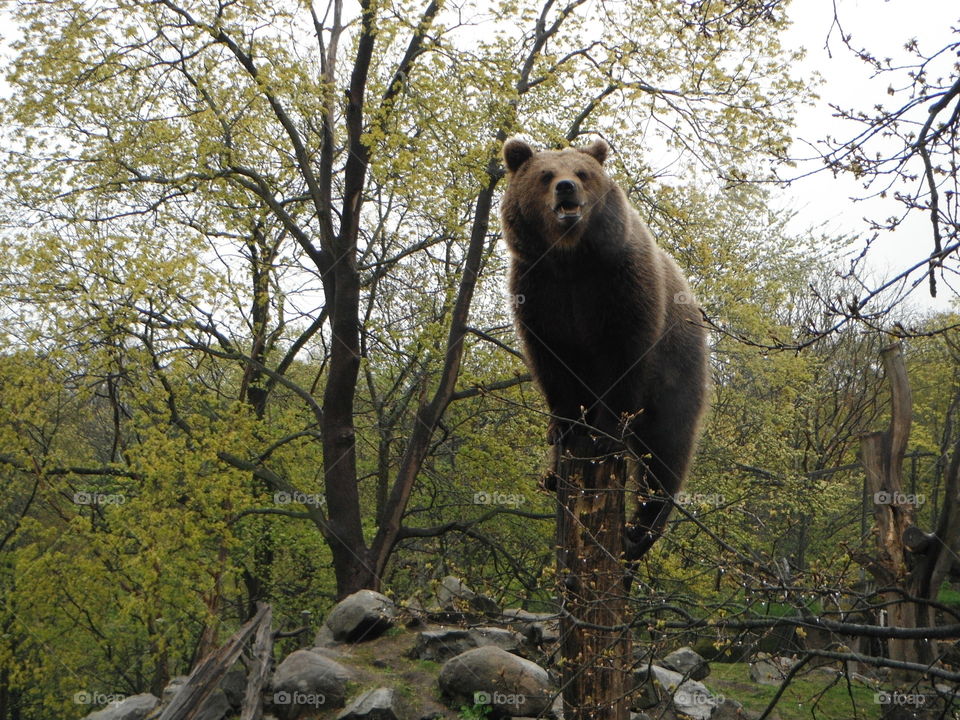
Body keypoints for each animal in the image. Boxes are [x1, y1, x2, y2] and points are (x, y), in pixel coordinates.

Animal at [498, 136, 708, 564]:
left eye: (582, 173)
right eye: (546, 174)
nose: (566, 188)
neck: (570, 259)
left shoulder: (621, 287)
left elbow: (624, 360)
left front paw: (604, 434)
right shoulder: (538, 293)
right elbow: (551, 364)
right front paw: (563, 426)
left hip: (681, 369)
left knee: (668, 447)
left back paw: (641, 527)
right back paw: (553, 474)